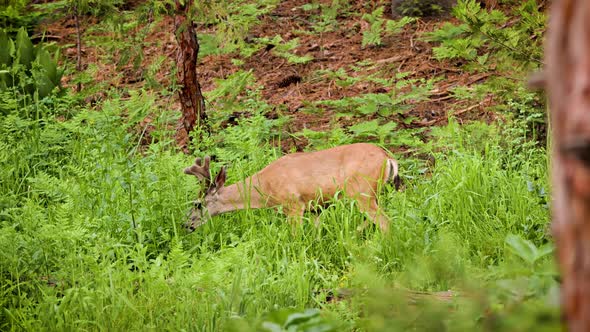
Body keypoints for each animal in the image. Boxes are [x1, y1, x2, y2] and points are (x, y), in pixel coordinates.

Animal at [185, 142, 402, 231]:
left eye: (197, 204)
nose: (186, 225)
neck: (264, 187)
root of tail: (388, 158)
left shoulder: (294, 205)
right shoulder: (314, 208)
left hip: (362, 192)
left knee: (385, 222)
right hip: (372, 193)